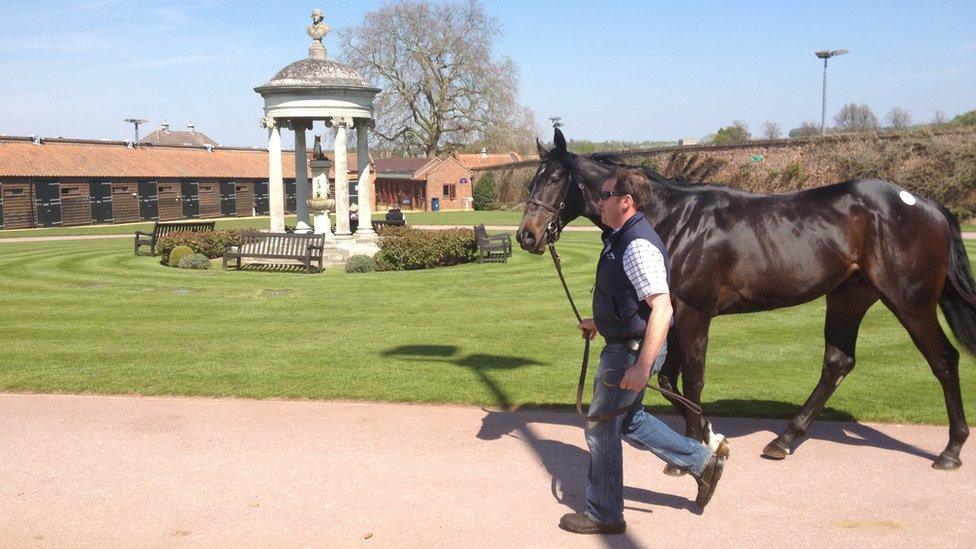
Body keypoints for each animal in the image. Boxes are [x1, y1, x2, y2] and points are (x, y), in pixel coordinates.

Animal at [516, 127, 972, 466]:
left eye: (553, 179)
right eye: (531, 179)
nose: (527, 235)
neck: (673, 219)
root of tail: (927, 205)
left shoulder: (694, 312)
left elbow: (692, 379)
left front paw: (698, 444)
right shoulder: (674, 315)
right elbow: (668, 378)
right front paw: (702, 434)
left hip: (910, 301)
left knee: (944, 360)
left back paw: (951, 449)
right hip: (849, 296)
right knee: (838, 362)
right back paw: (785, 439)